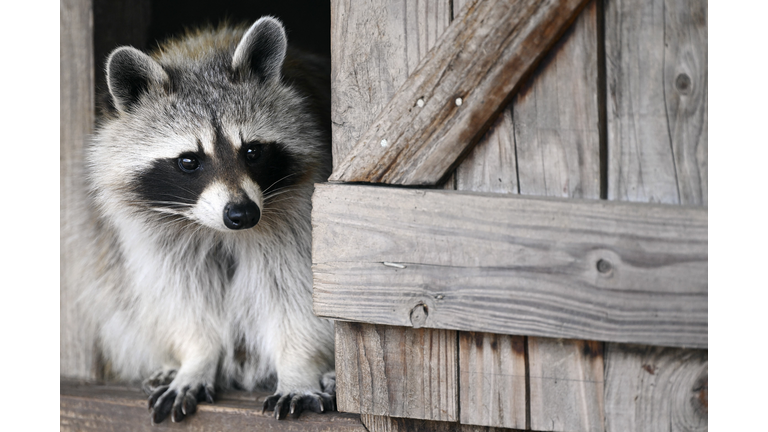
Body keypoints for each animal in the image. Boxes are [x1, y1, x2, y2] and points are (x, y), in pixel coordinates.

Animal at [85, 16, 336, 422]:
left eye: (252, 152)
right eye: (189, 161)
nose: (242, 214)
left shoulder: (300, 218)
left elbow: (297, 295)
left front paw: (300, 366)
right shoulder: (156, 237)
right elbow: (184, 297)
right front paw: (196, 357)